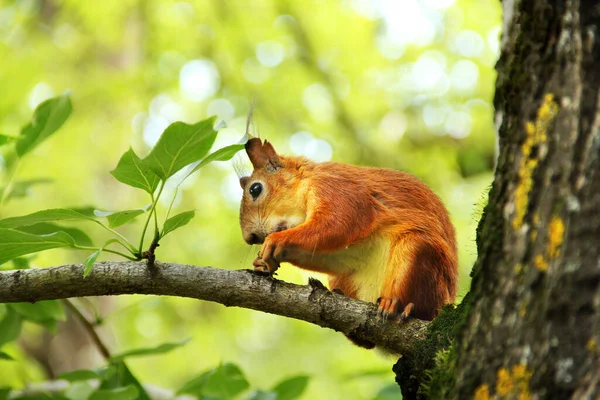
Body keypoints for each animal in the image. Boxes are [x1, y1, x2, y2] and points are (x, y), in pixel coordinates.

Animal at [237, 138, 458, 346]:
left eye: (255, 189)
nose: (250, 238)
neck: (306, 181)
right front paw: (261, 263)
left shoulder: (337, 189)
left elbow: (338, 223)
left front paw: (275, 241)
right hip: (343, 278)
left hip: (417, 251)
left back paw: (397, 305)